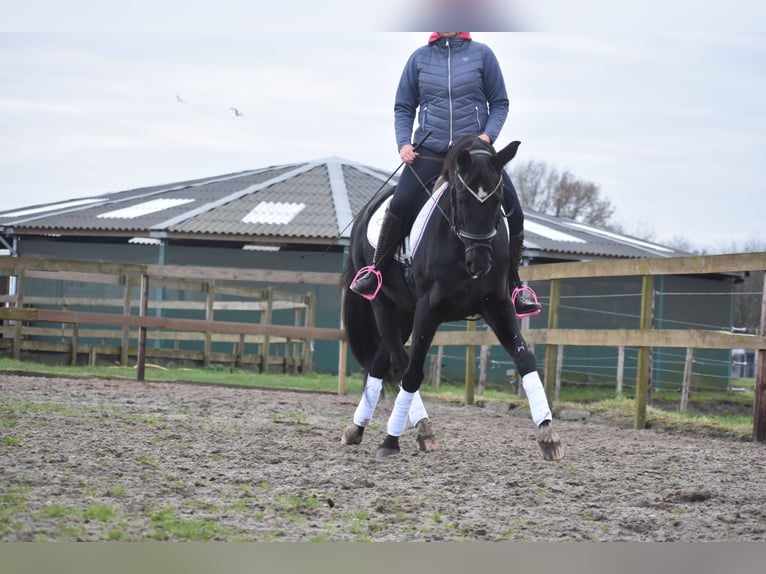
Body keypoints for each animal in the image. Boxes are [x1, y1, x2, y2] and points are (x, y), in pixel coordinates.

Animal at [342, 136, 564, 464]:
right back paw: (419, 427)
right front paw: (391, 441)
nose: (479, 264)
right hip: (383, 303)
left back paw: (358, 429)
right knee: (399, 361)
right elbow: (413, 372)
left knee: (381, 362)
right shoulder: (428, 309)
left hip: (404, 313)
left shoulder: (497, 305)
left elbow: (525, 358)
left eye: (499, 201)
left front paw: (548, 434)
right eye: (460, 199)